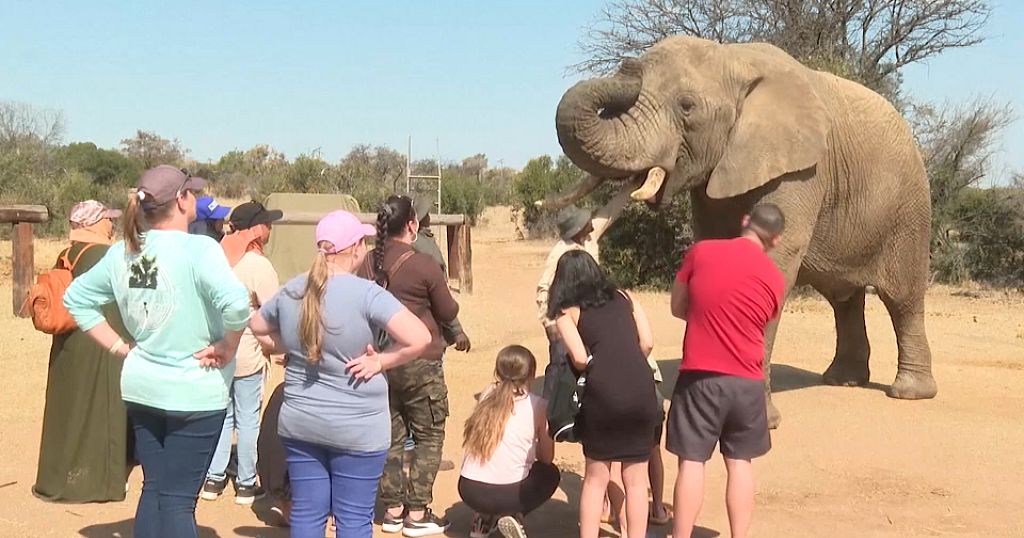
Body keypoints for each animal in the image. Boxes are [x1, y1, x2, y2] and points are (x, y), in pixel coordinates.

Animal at [544, 35, 937, 426]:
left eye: (687, 107)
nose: (628, 66)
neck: (732, 59)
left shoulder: (801, 169)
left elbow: (773, 263)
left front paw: (759, 419)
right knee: (844, 300)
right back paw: (843, 380)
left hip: (910, 207)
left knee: (902, 298)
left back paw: (908, 392)